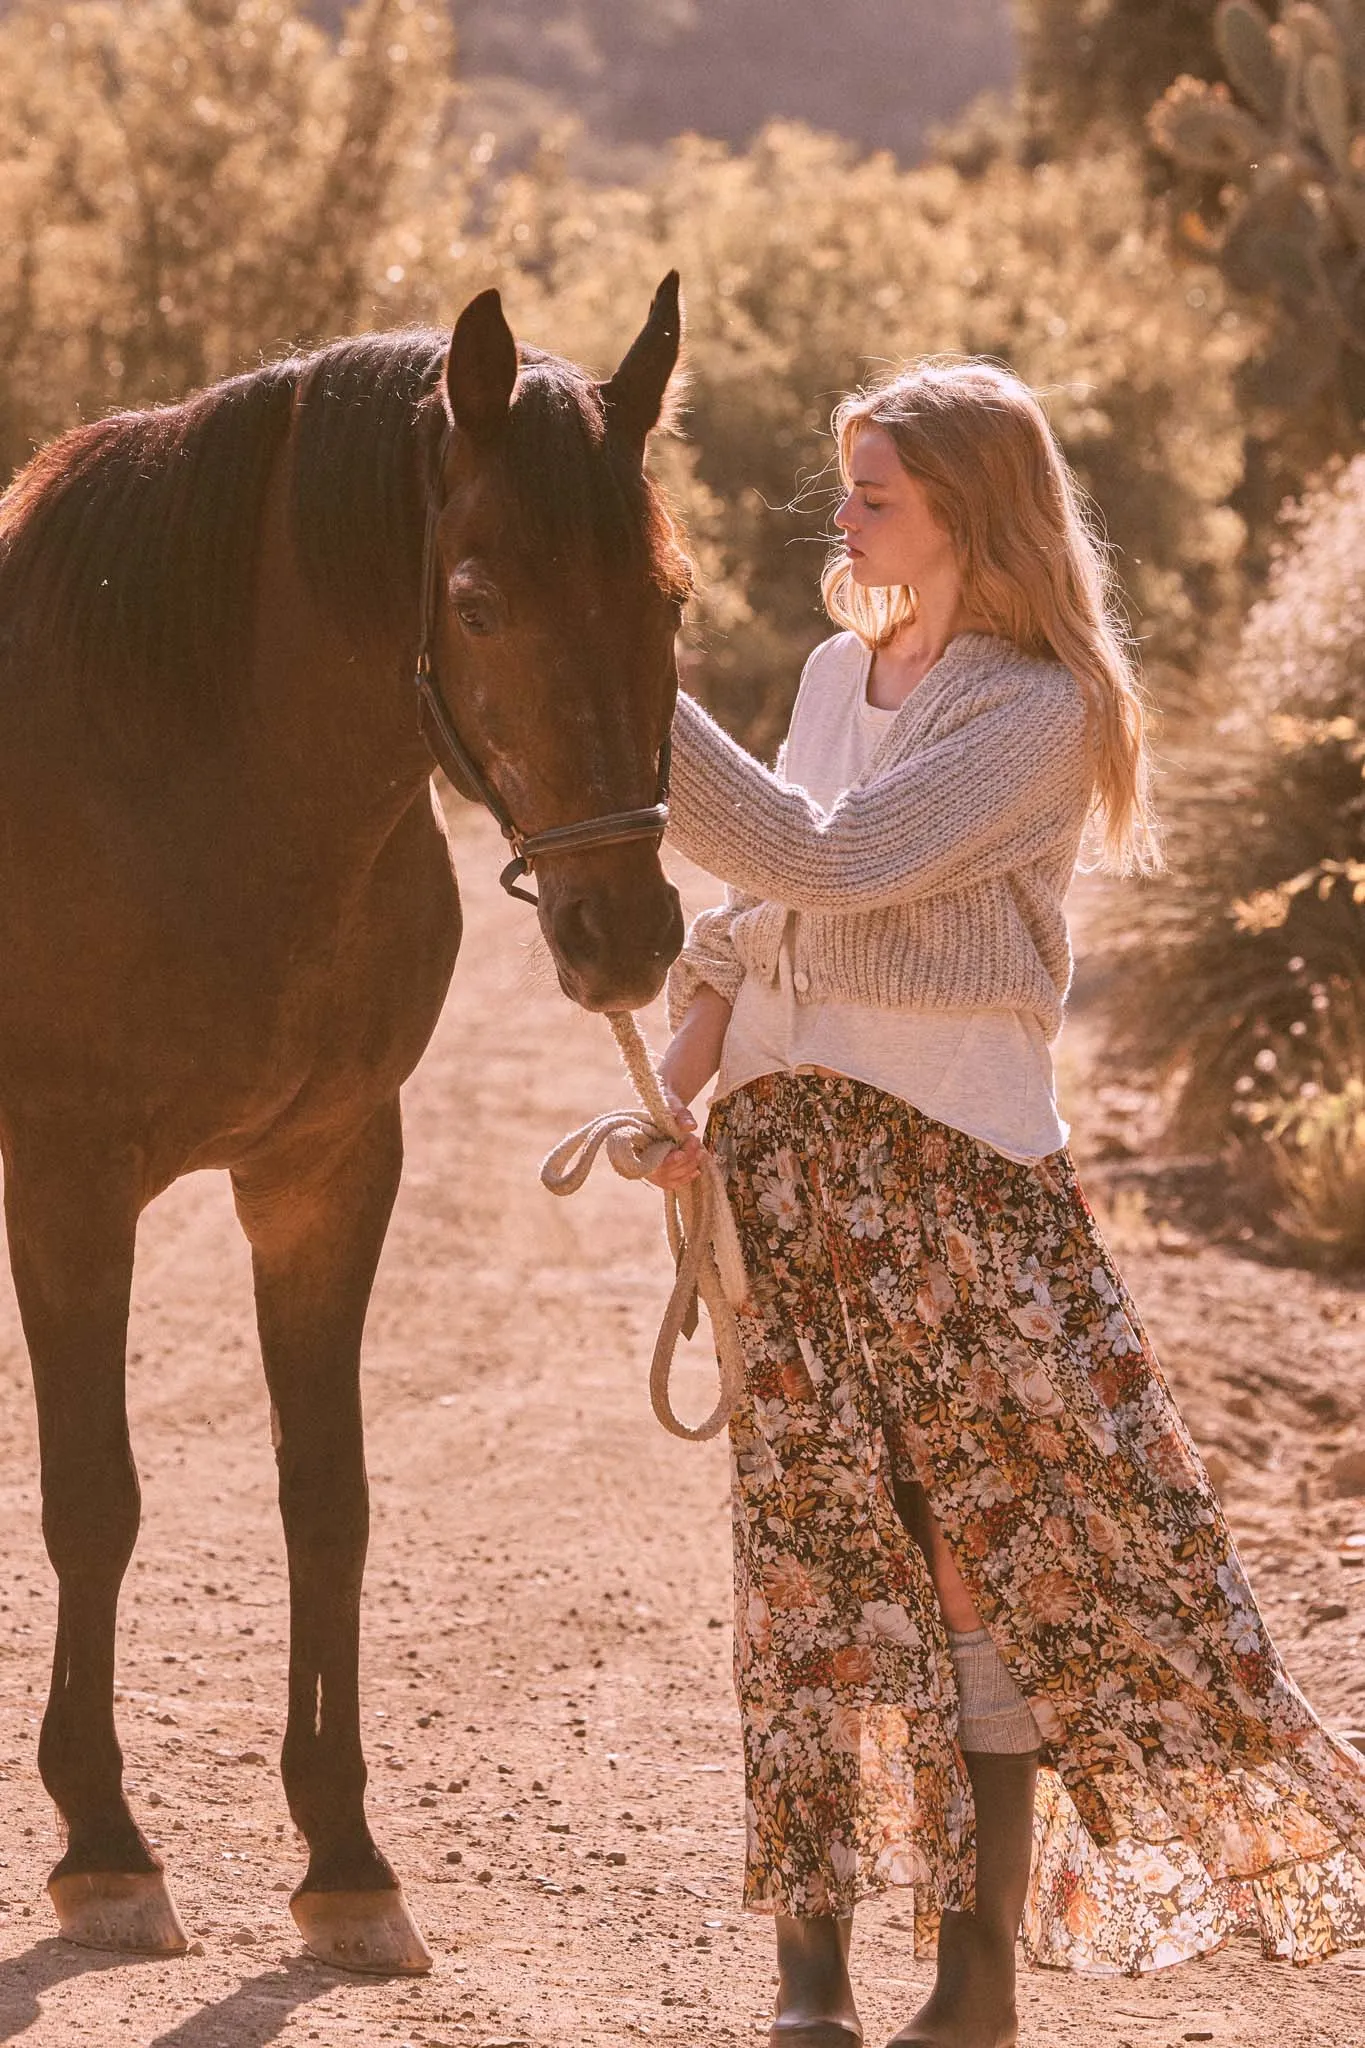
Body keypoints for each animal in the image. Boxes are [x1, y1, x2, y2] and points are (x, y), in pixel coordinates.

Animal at [0, 272, 687, 1966]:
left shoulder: (325, 1176)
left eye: (672, 599)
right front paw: (104, 1844)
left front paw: (345, 1861)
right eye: (479, 600)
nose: (623, 937)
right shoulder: (67, 1185)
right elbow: (94, 1497)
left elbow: (330, 1503)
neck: (181, 775)